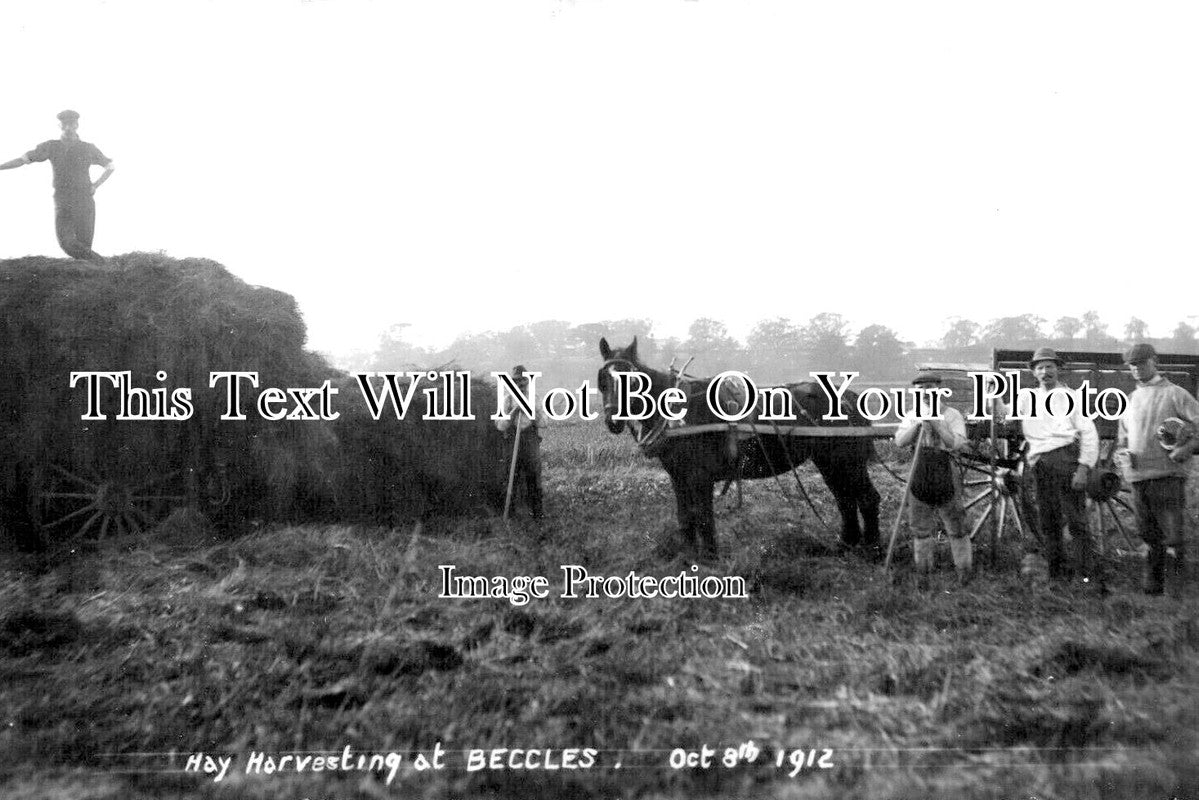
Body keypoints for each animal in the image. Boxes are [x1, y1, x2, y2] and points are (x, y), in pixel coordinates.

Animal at [599, 335, 882, 556]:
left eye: (632, 380)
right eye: (603, 379)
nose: (613, 420)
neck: (678, 412)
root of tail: (850, 397)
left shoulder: (700, 476)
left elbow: (703, 517)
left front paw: (709, 559)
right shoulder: (678, 476)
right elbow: (685, 517)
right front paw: (687, 558)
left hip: (847, 461)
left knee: (866, 498)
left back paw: (873, 550)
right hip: (830, 461)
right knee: (845, 499)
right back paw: (846, 546)